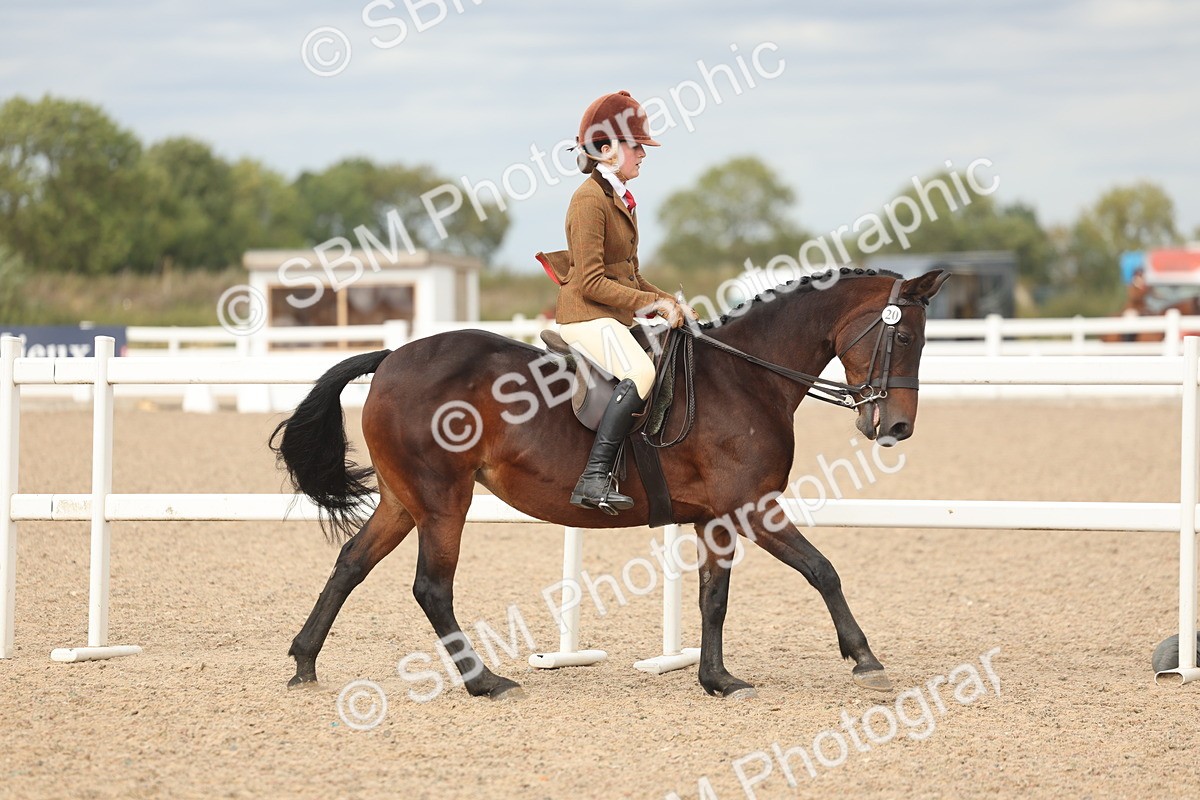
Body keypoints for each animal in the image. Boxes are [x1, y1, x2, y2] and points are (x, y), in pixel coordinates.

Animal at [271, 267, 950, 700]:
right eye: (904, 336)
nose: (896, 426)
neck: (745, 378)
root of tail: (390, 357)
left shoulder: (718, 517)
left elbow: (714, 597)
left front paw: (716, 680)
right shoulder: (754, 507)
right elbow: (822, 570)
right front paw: (865, 659)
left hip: (403, 499)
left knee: (351, 564)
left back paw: (304, 662)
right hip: (443, 500)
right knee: (431, 588)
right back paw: (484, 682)